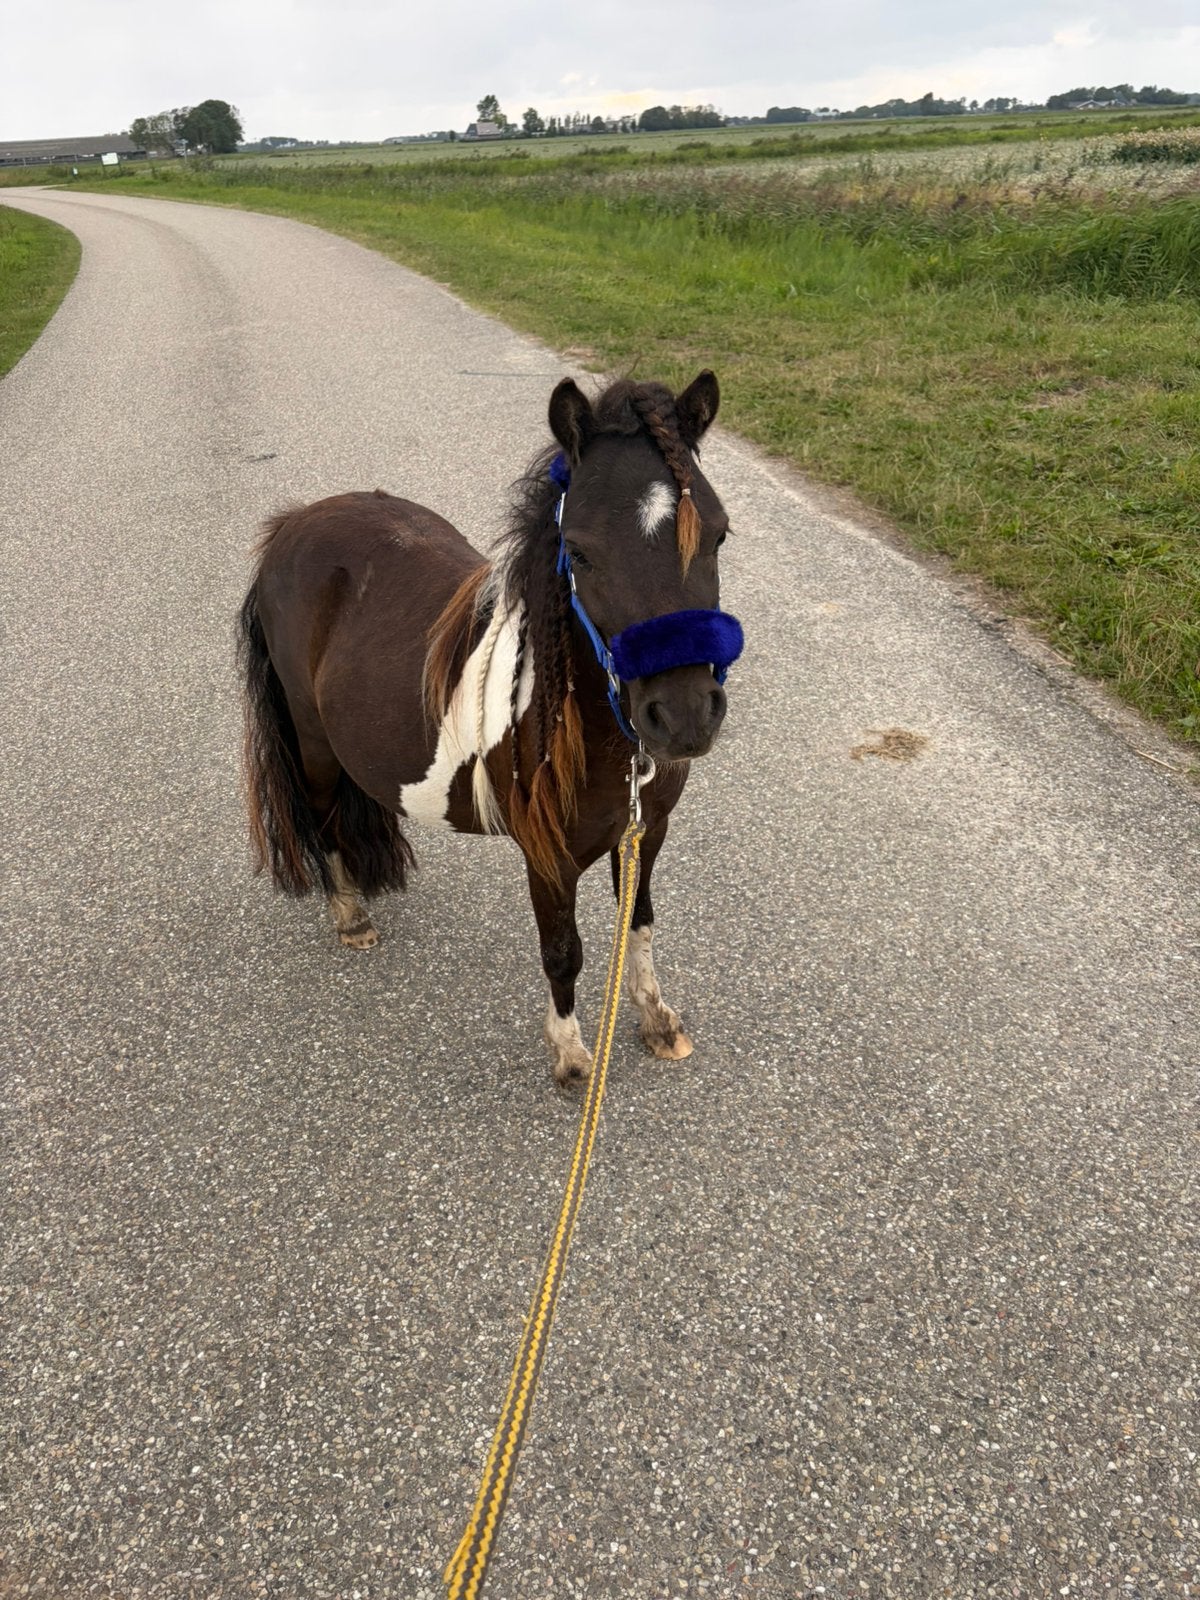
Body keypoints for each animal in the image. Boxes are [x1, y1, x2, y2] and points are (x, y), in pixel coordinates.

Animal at [236, 372, 743, 1085]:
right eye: (579, 551)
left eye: (718, 535)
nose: (684, 717)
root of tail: (295, 522)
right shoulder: (549, 858)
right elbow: (564, 951)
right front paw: (570, 1056)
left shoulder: (647, 832)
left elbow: (638, 926)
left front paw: (656, 1021)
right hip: (312, 741)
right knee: (324, 812)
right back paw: (350, 914)